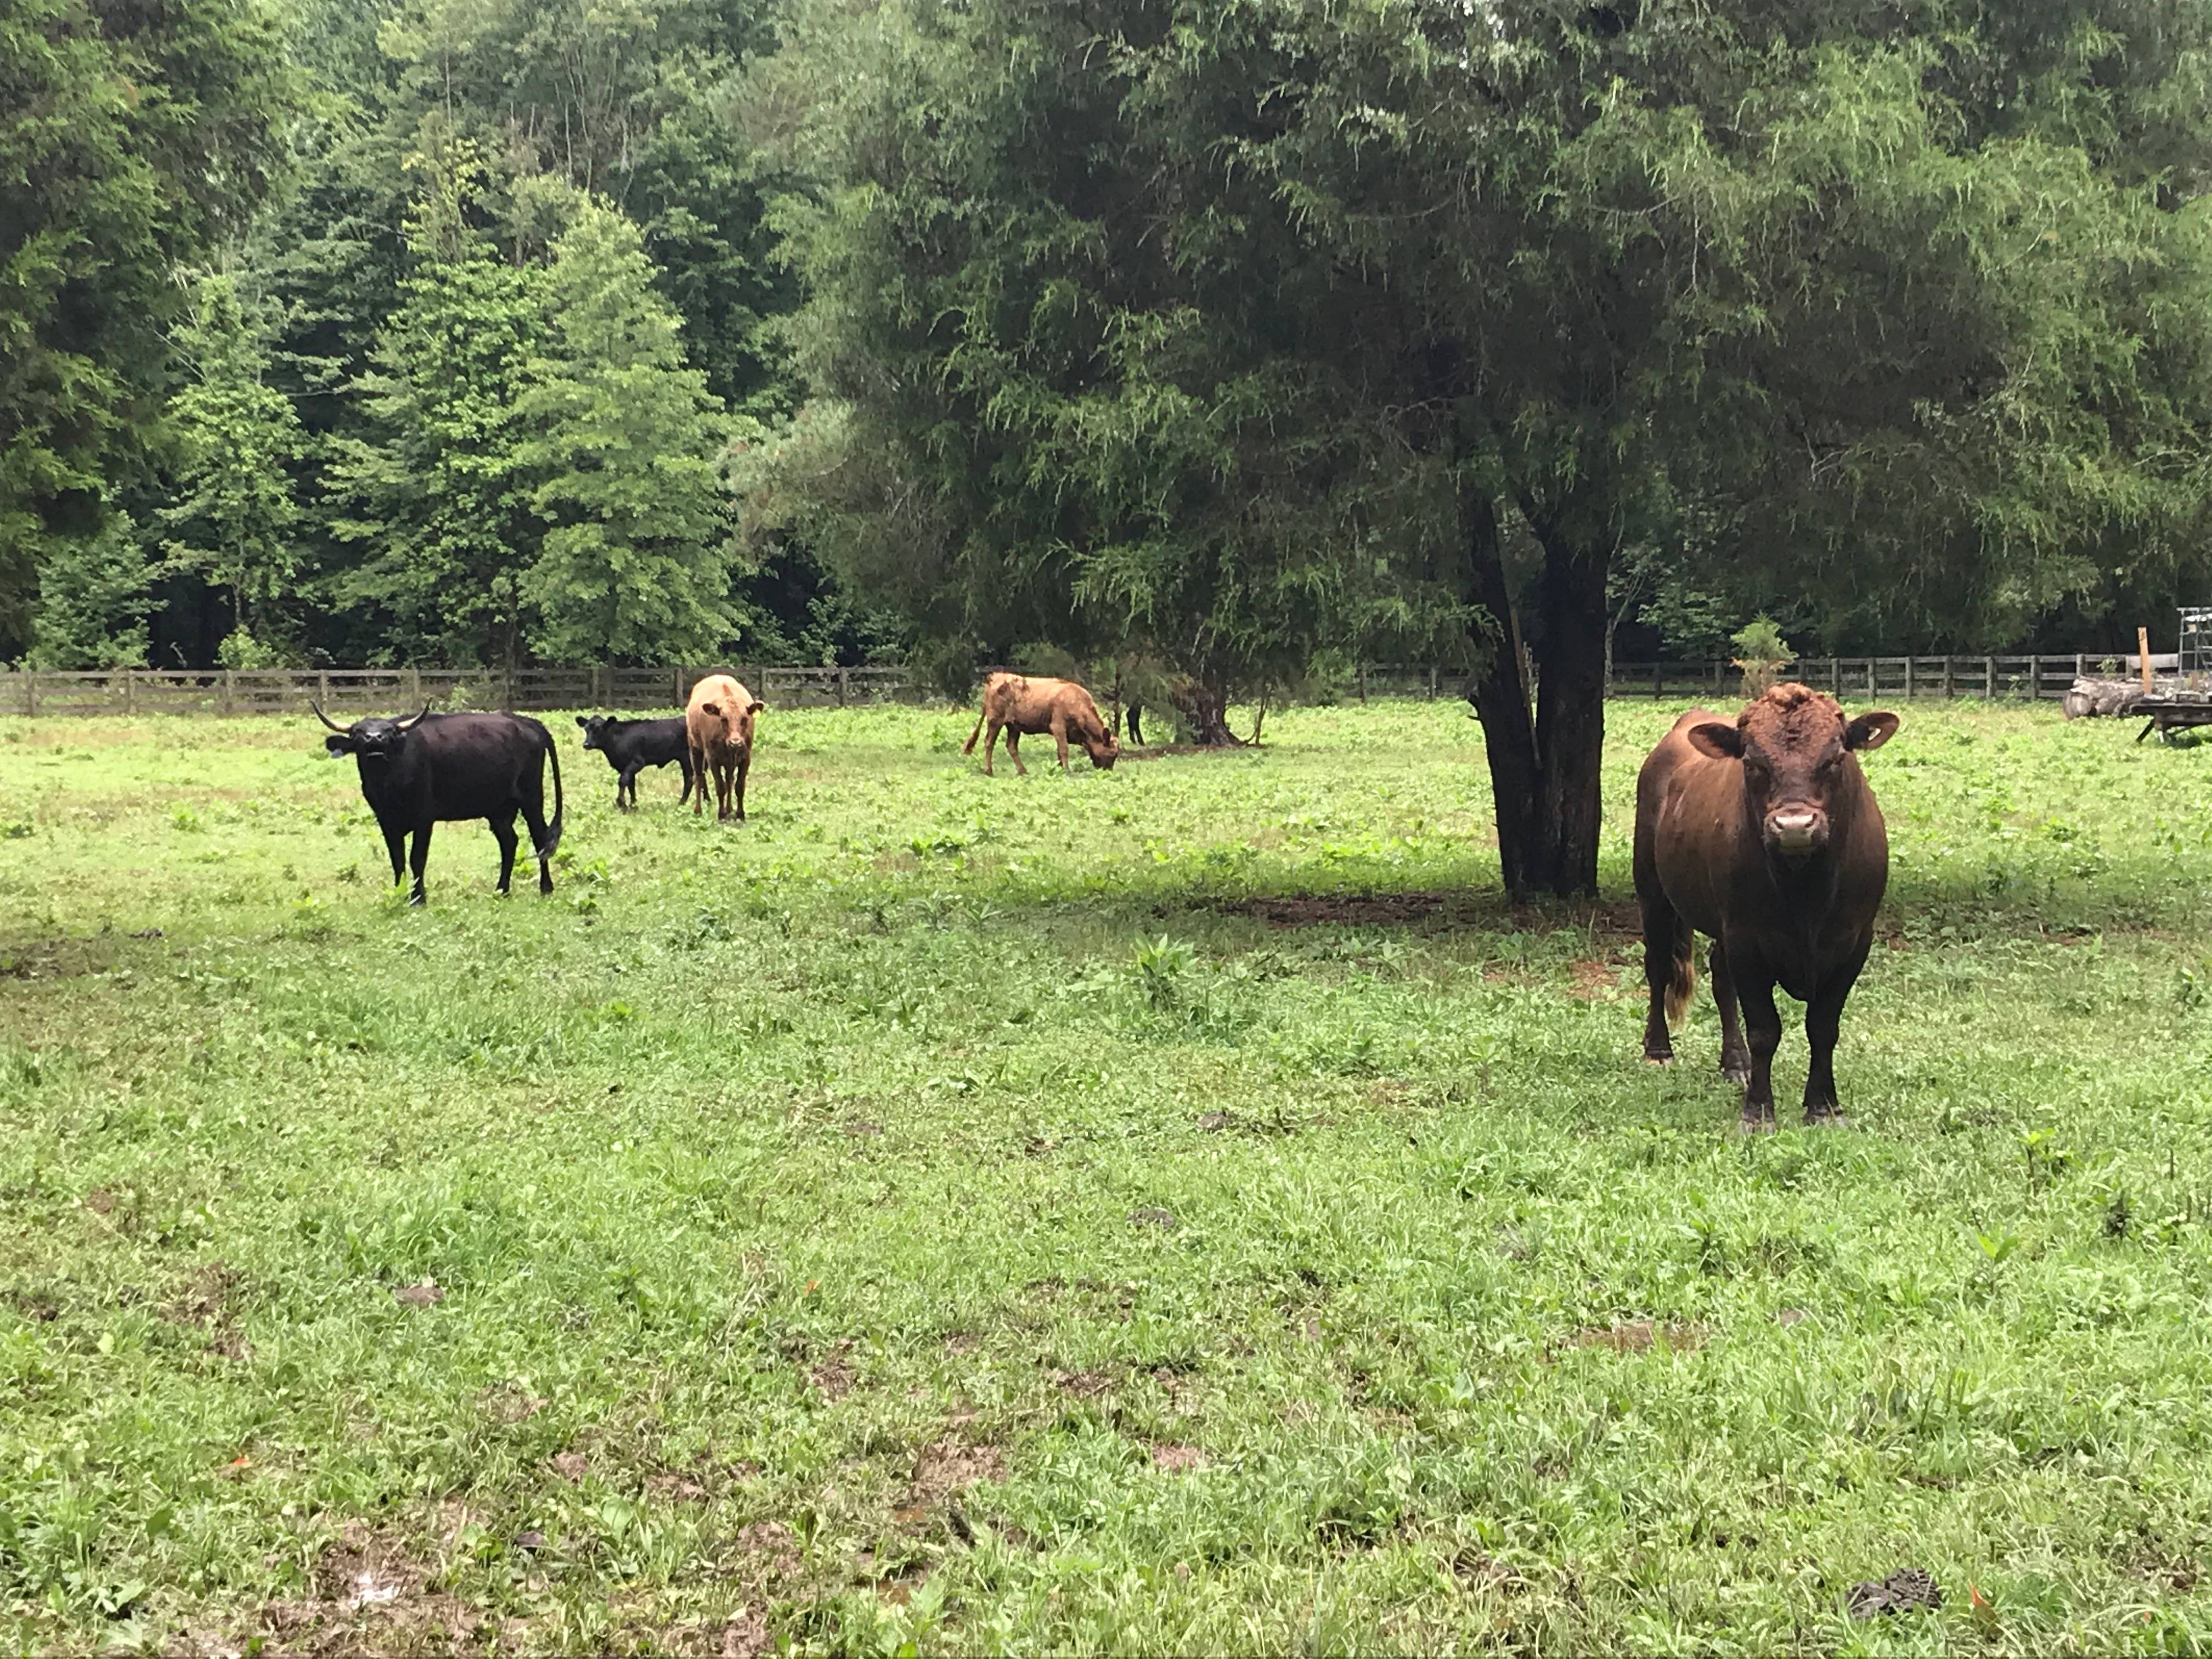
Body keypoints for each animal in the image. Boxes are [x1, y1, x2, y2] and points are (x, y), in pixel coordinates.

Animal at [314, 704, 564, 905]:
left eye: (390, 732)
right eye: (358, 732)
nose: (374, 738)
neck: (389, 783)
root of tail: (528, 722)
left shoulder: (424, 819)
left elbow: (417, 859)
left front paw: (418, 898)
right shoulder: (386, 821)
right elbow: (397, 860)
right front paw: (400, 894)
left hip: (532, 797)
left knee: (540, 838)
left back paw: (546, 888)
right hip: (499, 809)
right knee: (510, 843)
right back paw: (502, 890)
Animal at [576, 714, 696, 811]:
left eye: (598, 730)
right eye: (586, 730)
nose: (586, 744)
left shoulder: (637, 762)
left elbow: (623, 781)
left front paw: (622, 804)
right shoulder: (624, 767)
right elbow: (631, 784)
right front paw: (633, 805)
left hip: (687, 758)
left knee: (689, 779)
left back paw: (681, 804)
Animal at [685, 675, 763, 821]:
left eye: (744, 719)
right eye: (723, 719)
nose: (735, 742)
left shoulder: (746, 757)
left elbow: (739, 786)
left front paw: (740, 814)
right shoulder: (713, 758)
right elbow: (720, 787)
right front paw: (721, 815)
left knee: (729, 780)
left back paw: (729, 808)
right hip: (695, 748)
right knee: (698, 777)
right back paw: (698, 810)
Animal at [961, 672, 1118, 775]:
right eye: (1111, 754)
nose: (1108, 771)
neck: (1076, 701)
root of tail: (995, 677)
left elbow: (1059, 752)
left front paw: (1059, 768)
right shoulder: (1058, 727)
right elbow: (1064, 750)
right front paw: (1067, 770)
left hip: (1014, 726)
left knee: (1011, 746)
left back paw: (1023, 771)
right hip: (995, 722)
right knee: (989, 743)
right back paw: (989, 771)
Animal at [1633, 682, 1899, 1131]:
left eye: (1834, 758)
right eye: (1754, 763)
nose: (1794, 827)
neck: (1806, 893)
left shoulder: (1855, 940)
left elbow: (1824, 1026)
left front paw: (1824, 1107)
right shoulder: (1747, 939)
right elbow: (1764, 1029)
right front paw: (1758, 1112)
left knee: (1720, 978)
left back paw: (1735, 1062)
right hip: (1652, 890)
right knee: (1658, 966)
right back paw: (1659, 1050)